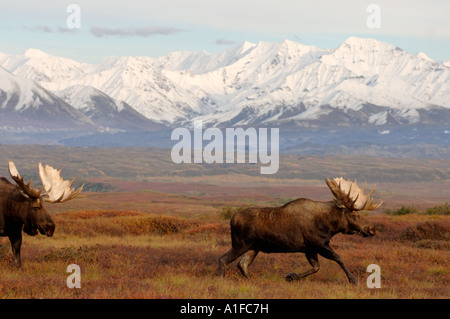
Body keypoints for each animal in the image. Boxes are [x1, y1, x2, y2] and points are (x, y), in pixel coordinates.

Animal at [218, 178, 384, 284]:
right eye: (355, 214)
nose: (371, 229)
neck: (330, 225)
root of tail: (232, 220)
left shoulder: (309, 248)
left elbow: (316, 267)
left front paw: (291, 276)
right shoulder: (318, 244)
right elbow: (339, 258)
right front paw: (353, 279)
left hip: (254, 248)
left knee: (242, 264)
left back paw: (252, 280)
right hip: (240, 244)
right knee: (223, 259)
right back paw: (221, 279)